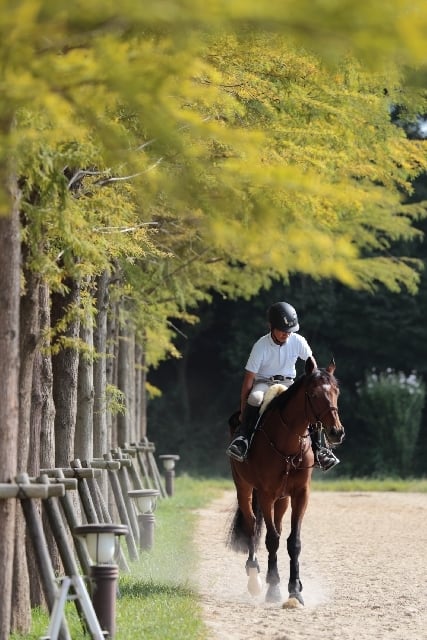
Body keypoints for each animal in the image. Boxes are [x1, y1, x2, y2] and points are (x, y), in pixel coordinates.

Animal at [227, 358, 344, 608]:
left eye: (336, 392)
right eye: (314, 394)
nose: (336, 432)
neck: (288, 442)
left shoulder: (300, 494)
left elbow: (293, 542)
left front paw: (295, 590)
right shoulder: (266, 494)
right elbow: (271, 540)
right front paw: (273, 589)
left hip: (282, 499)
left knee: (277, 528)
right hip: (244, 489)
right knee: (252, 527)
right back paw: (255, 578)